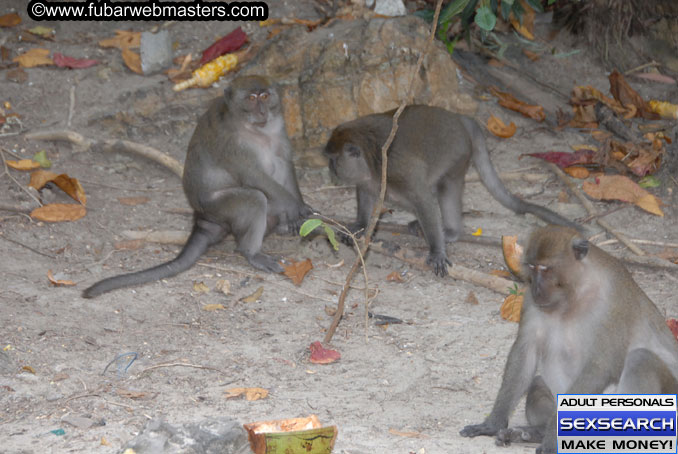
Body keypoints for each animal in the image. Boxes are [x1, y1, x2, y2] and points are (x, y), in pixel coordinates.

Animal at [83, 75, 314, 298]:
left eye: (265, 96)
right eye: (251, 98)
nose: (262, 111)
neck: (256, 130)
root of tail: (202, 217)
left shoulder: (279, 126)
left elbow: (285, 163)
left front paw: (298, 209)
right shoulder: (233, 142)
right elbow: (253, 175)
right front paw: (294, 207)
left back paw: (282, 226)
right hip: (218, 206)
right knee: (255, 199)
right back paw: (252, 252)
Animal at [324, 105, 580, 276]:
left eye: (334, 160)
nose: (330, 169)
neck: (371, 157)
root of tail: (459, 119)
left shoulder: (397, 170)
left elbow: (424, 200)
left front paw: (437, 251)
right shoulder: (368, 180)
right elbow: (366, 194)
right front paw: (359, 226)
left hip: (458, 155)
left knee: (446, 187)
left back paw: (451, 232)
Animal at [462, 226, 678, 454]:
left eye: (545, 268)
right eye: (532, 267)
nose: (536, 287)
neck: (575, 293)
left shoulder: (614, 302)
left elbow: (600, 366)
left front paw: (550, 443)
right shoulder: (532, 301)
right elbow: (526, 350)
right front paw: (493, 424)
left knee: (641, 360)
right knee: (537, 383)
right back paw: (536, 431)